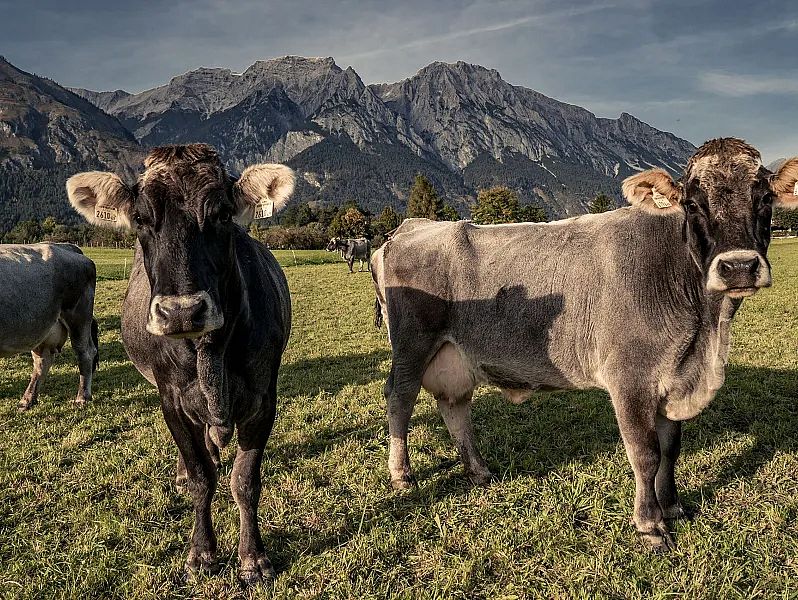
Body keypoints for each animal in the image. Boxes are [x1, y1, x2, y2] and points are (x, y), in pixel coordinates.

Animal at [0, 241, 99, 410]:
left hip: (79, 316)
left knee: (85, 352)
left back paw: (82, 397)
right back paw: (27, 400)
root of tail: (65, 246)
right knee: (43, 361)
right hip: (42, 328)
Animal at [67, 143, 296, 584]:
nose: (182, 311)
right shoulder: (171, 400)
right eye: (140, 219)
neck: (210, 353)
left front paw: (253, 558)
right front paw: (202, 552)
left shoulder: (264, 398)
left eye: (223, 214)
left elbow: (244, 480)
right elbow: (201, 478)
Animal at [374, 138, 798, 552]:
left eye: (764, 197)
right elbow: (645, 453)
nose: (739, 266)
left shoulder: (672, 377)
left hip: (454, 355)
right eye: (692, 203)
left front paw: (673, 506)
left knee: (453, 405)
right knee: (400, 398)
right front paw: (650, 525)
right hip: (412, 346)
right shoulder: (631, 378)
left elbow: (670, 449)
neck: (703, 336)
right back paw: (402, 475)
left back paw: (478, 470)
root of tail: (409, 228)